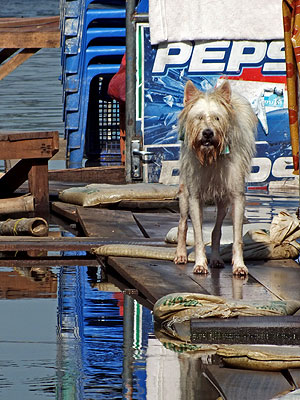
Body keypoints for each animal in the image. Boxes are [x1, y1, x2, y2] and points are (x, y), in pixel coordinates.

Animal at [175, 80, 256, 276]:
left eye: (217, 118)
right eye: (198, 117)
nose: (207, 133)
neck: (211, 157)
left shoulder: (236, 197)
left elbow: (237, 237)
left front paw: (239, 265)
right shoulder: (194, 197)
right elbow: (197, 235)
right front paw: (199, 263)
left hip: (223, 202)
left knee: (216, 230)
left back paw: (217, 259)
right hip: (184, 196)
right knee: (182, 223)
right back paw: (181, 254)